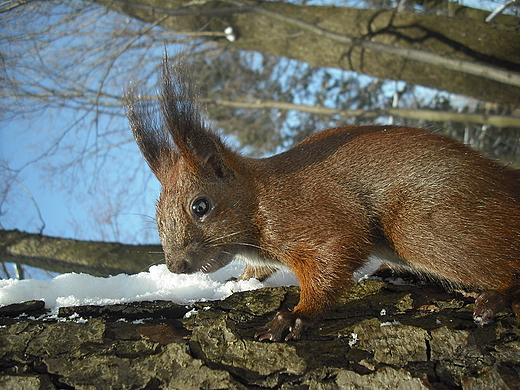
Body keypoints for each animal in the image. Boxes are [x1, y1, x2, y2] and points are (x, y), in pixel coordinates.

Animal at [127, 54, 520, 342]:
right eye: (157, 215)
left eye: (200, 206)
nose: (176, 266)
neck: (259, 199)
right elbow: (259, 270)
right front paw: (238, 281)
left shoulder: (316, 216)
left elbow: (334, 258)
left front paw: (297, 315)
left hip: (425, 228)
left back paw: (499, 294)